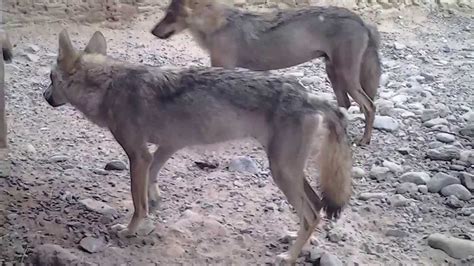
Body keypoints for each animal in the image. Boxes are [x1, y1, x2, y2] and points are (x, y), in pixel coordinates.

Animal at [43, 29, 352, 264]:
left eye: (49, 78)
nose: (44, 97)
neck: (108, 85)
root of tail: (309, 96)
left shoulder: (138, 155)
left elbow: (137, 203)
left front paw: (130, 230)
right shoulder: (165, 147)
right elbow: (152, 181)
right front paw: (155, 205)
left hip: (281, 173)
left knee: (311, 213)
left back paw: (288, 256)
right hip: (289, 173)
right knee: (317, 207)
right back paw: (294, 238)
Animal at [152, 0, 382, 145]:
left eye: (170, 15)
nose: (152, 31)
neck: (217, 25)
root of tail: (361, 20)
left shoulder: (224, 67)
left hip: (345, 76)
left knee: (369, 106)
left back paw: (365, 140)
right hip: (334, 75)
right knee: (346, 105)